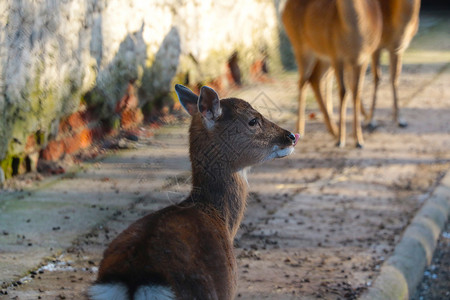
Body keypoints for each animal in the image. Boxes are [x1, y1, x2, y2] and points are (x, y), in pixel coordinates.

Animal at [284, 0, 382, 148]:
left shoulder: (363, 58)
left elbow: (356, 92)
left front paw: (359, 140)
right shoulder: (337, 55)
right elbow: (343, 92)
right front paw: (341, 140)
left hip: (323, 57)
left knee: (314, 79)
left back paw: (333, 130)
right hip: (301, 47)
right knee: (303, 81)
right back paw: (301, 130)